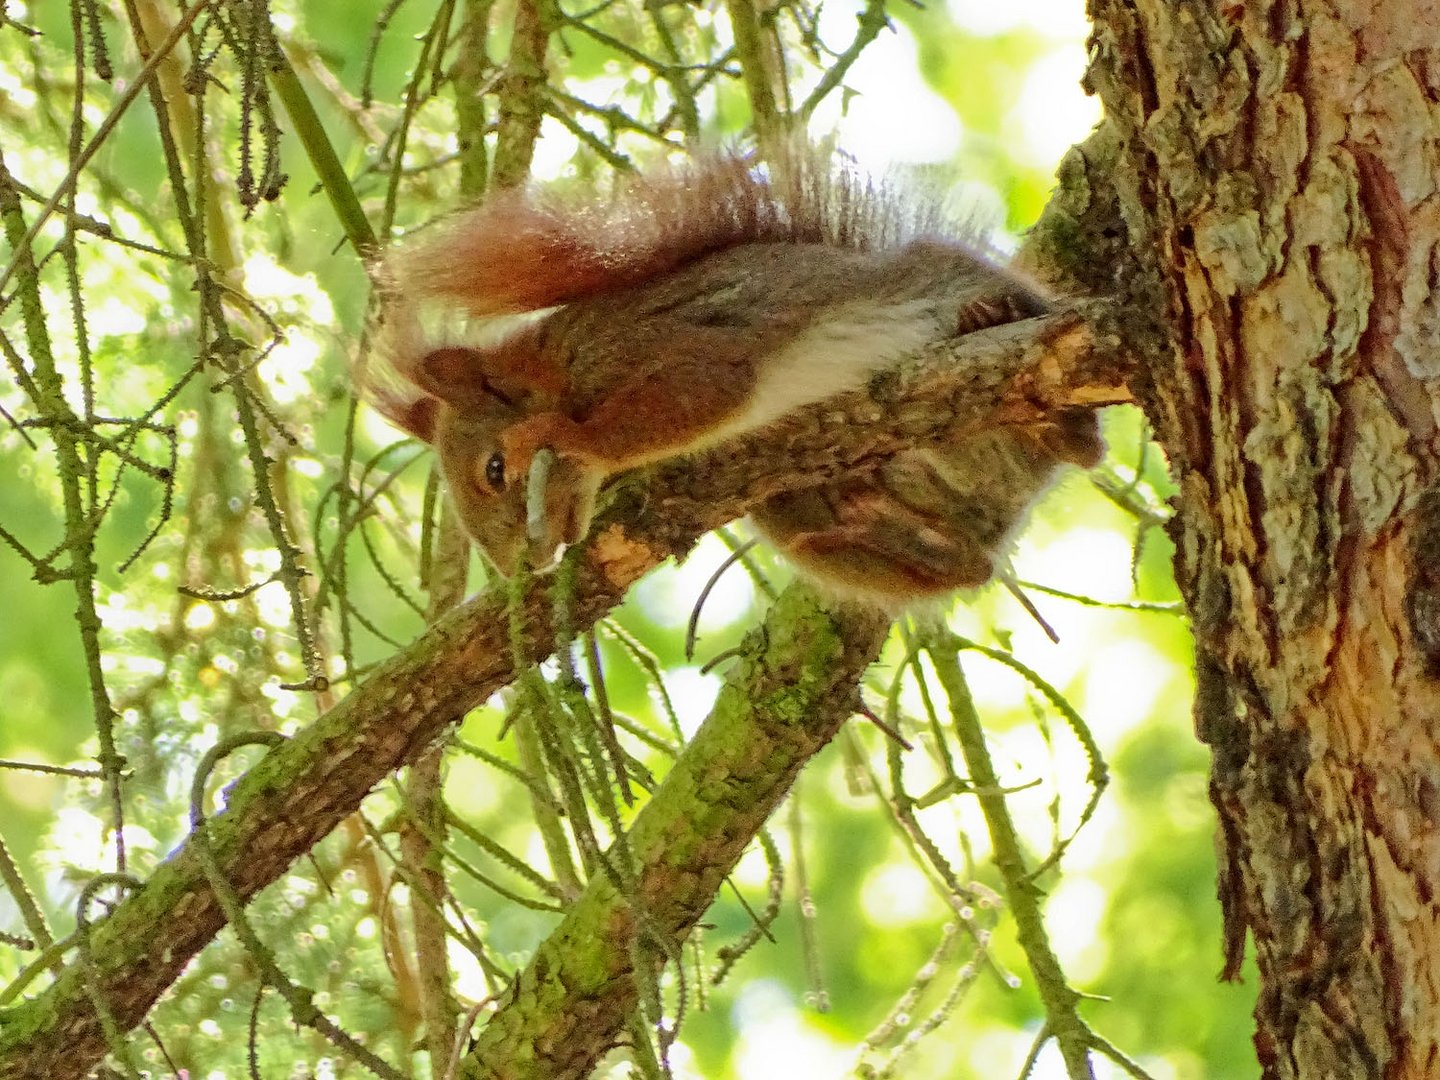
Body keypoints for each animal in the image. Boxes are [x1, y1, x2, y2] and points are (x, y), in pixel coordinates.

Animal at [371, 146, 1100, 601]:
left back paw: (1024, 369)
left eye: (495, 471)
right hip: (791, 506)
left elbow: (696, 393)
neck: (560, 365)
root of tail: (1010, 502)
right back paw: (878, 527)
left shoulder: (674, 348)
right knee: (969, 570)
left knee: (1087, 444)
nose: (526, 566)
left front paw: (564, 435)